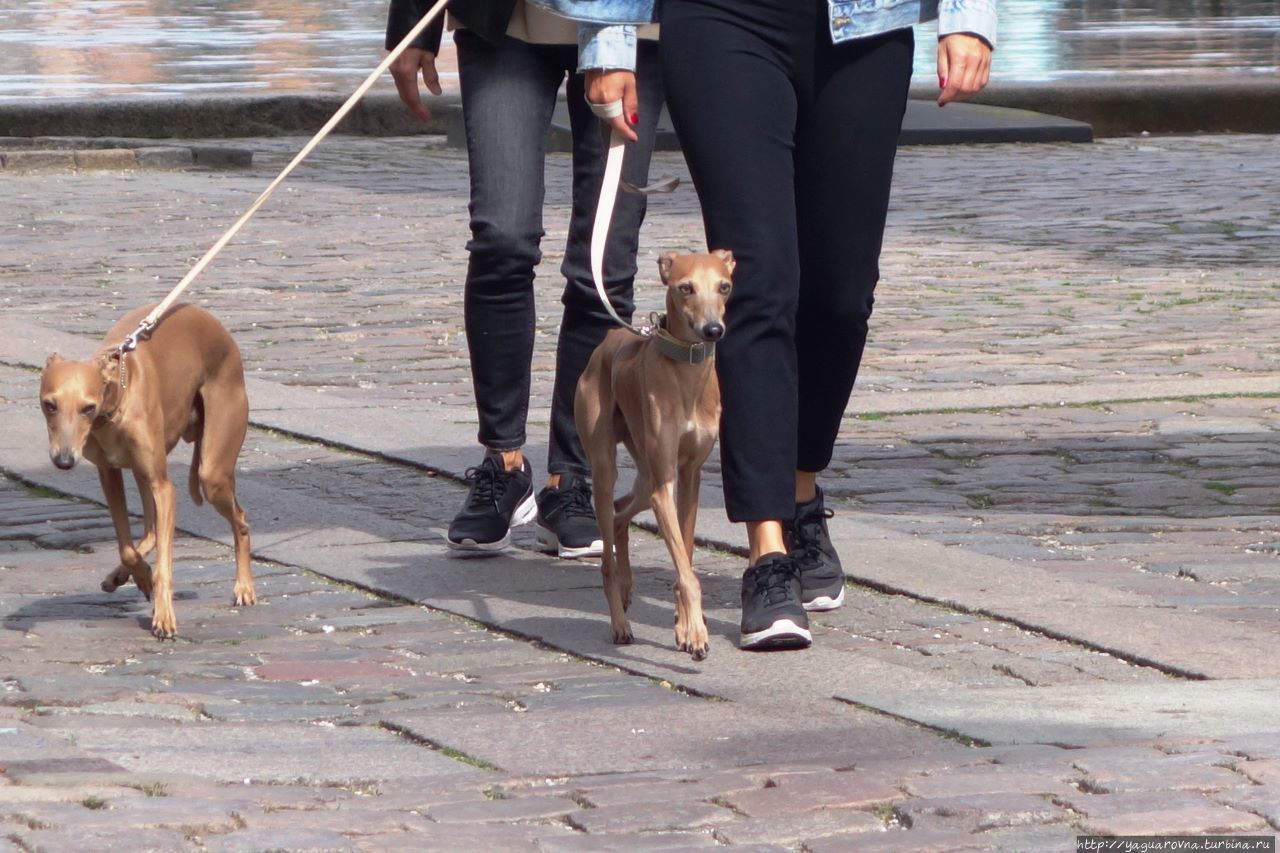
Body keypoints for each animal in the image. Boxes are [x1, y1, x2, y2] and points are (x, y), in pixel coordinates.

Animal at [38, 302, 254, 635]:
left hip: (212, 474)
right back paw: (122, 576)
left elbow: (164, 563)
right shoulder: (109, 474)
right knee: (152, 530)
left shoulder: (164, 488)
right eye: (49, 405)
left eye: (88, 407)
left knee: (240, 520)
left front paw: (164, 616)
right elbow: (127, 548)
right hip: (144, 474)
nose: (63, 461)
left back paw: (244, 586)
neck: (118, 399)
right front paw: (140, 575)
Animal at [578, 245, 737, 655]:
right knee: (607, 550)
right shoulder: (665, 485)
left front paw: (684, 626)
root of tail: (609, 338)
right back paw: (619, 622)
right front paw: (696, 634)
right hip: (607, 466)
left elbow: (686, 555)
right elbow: (686, 572)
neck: (688, 378)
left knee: (621, 514)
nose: (713, 330)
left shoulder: (688, 476)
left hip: (645, 472)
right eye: (685, 287)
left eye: (724, 286)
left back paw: (627, 587)